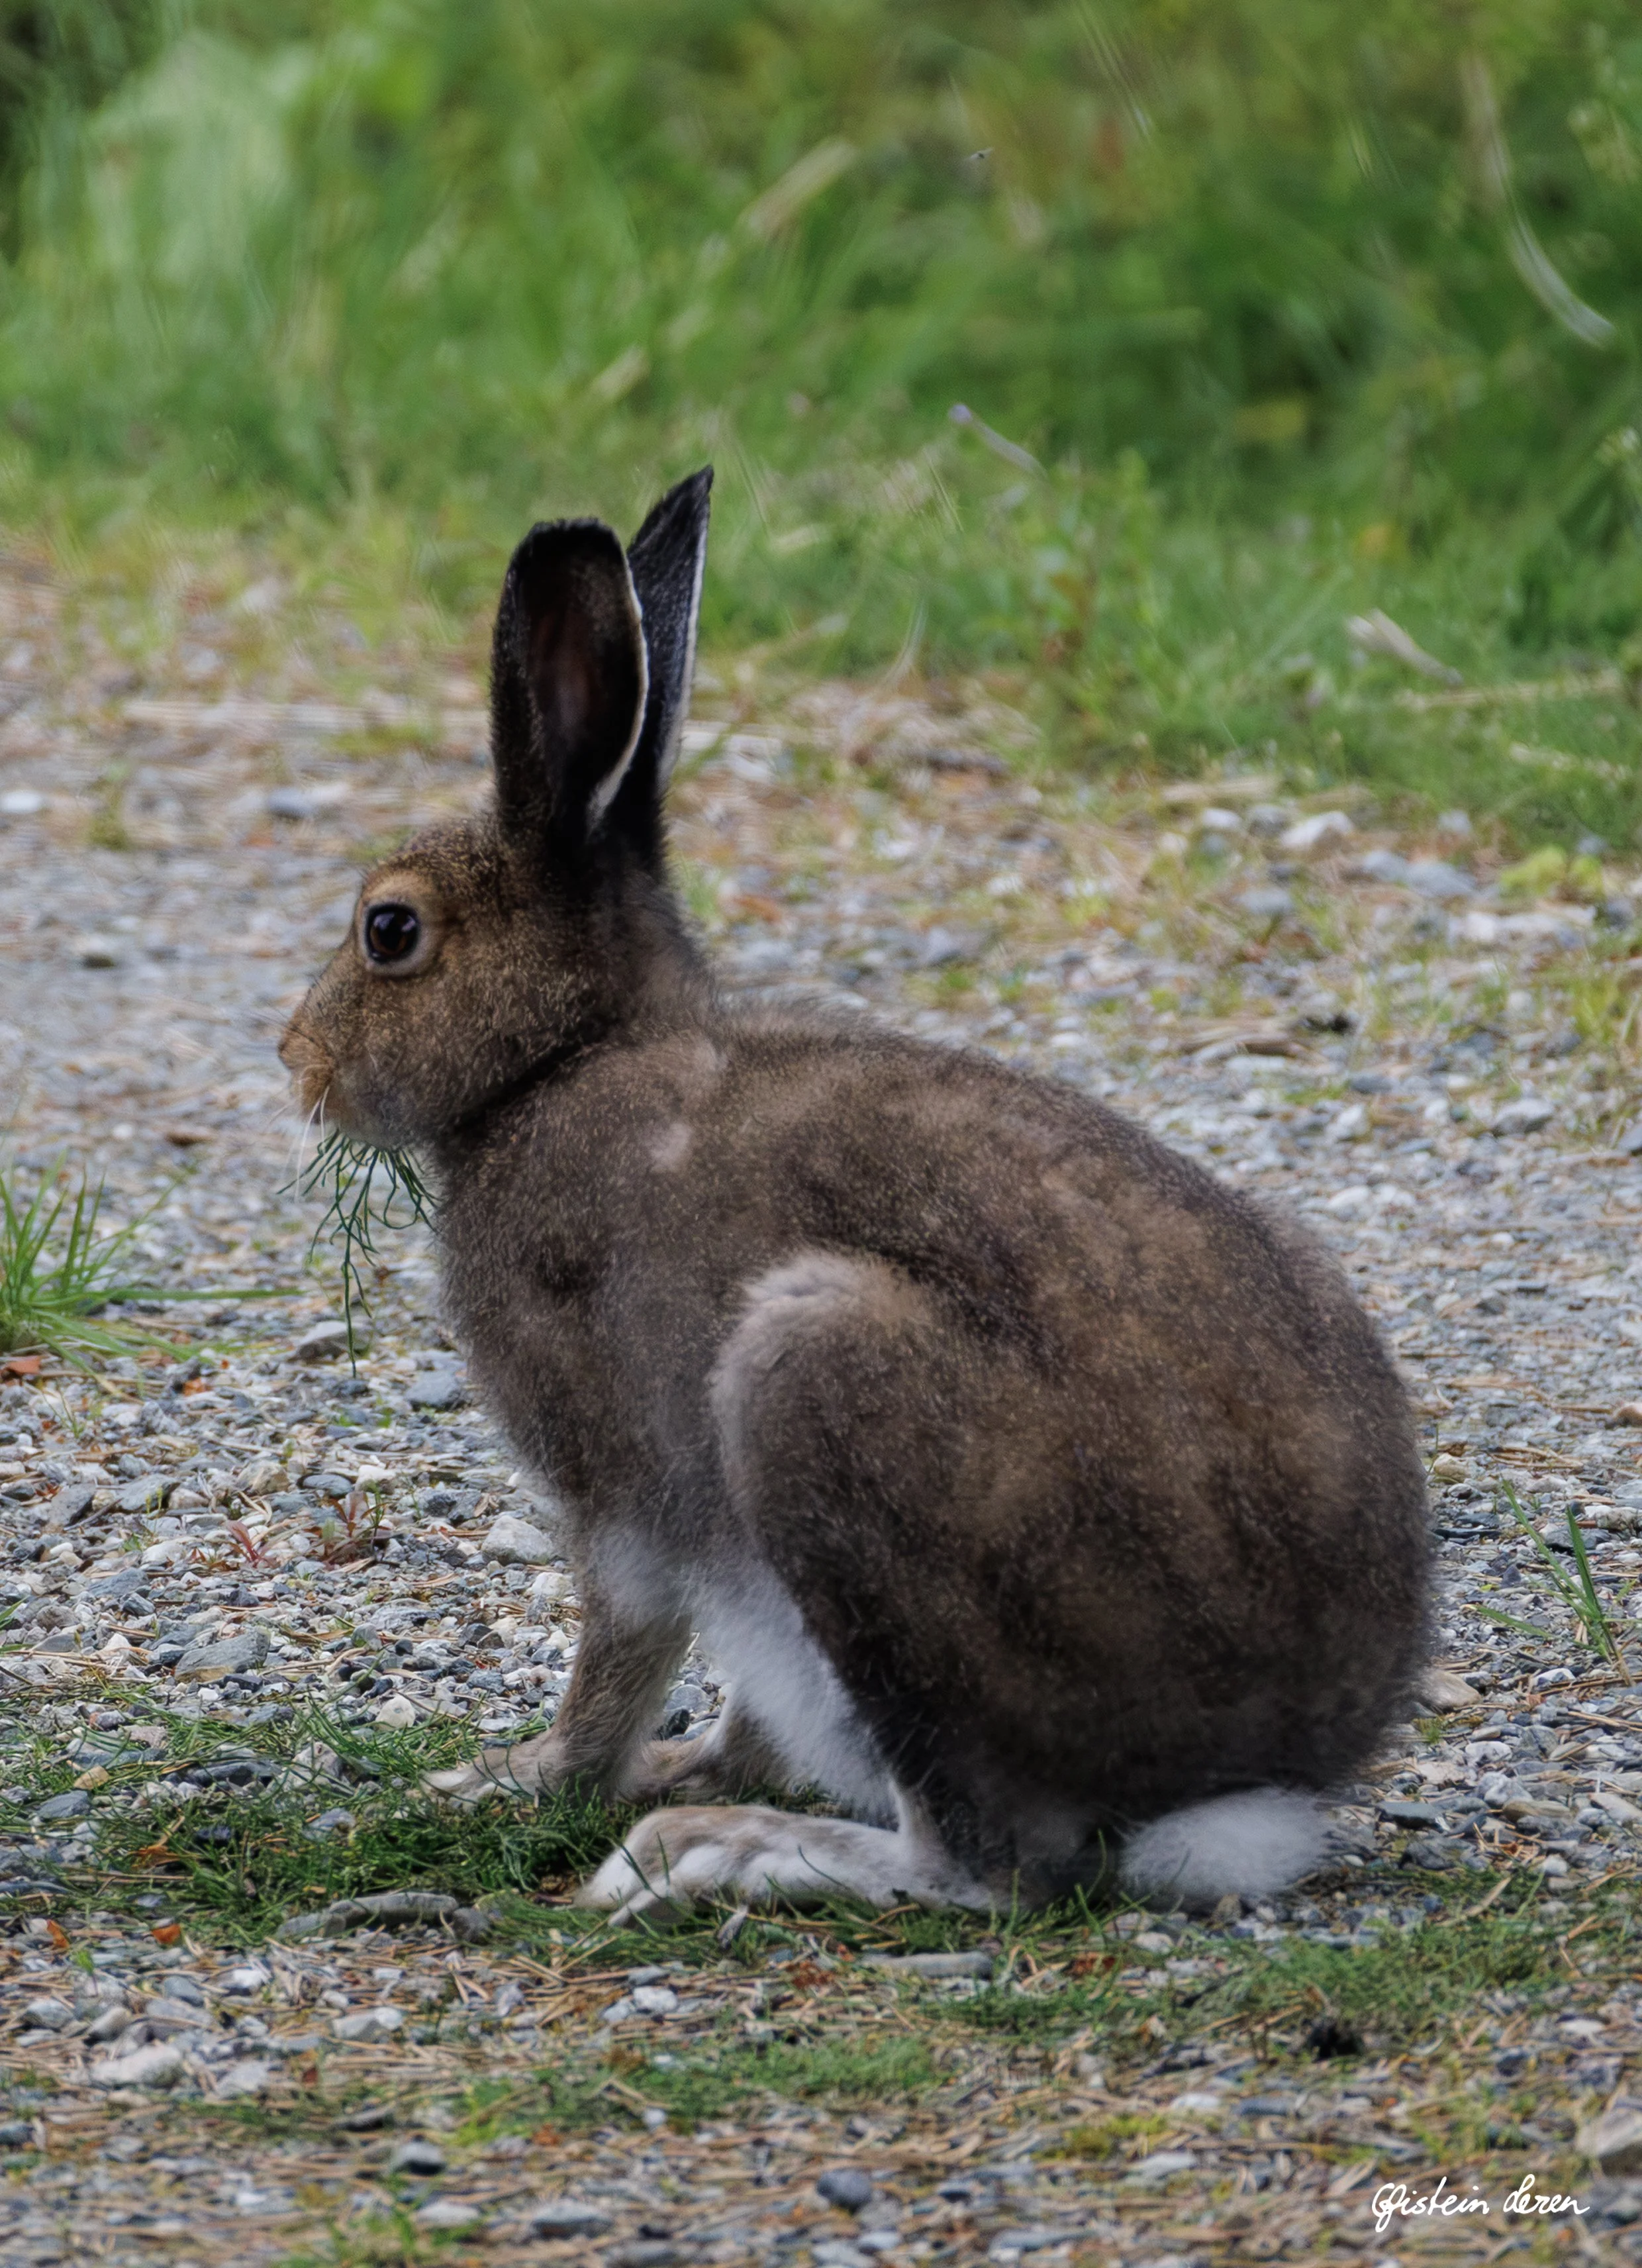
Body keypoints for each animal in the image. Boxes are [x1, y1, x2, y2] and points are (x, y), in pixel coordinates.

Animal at [279, 467, 1431, 1922]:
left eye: (390, 931)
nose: (296, 1060)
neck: (566, 1057)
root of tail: (1247, 1774)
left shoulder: (621, 1478)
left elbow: (624, 1642)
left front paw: (525, 1777)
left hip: (817, 1386)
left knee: (989, 1865)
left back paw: (712, 1848)